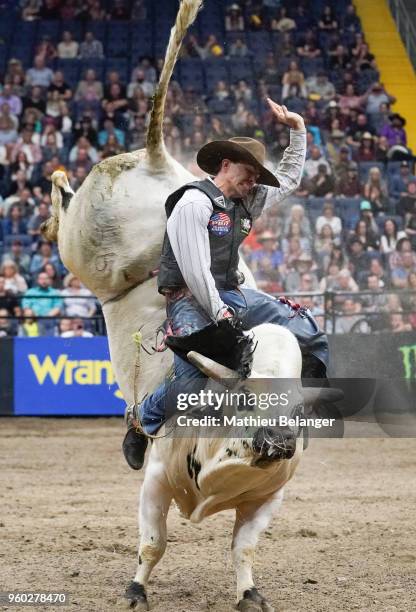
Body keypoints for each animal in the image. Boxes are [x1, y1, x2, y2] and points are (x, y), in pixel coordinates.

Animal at [42, 2, 342, 608]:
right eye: (245, 396)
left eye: (296, 404)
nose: (277, 441)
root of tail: (158, 161)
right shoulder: (157, 480)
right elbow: (152, 543)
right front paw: (136, 589)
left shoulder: (268, 500)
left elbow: (243, 548)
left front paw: (249, 593)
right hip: (85, 251)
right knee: (64, 210)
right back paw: (52, 195)